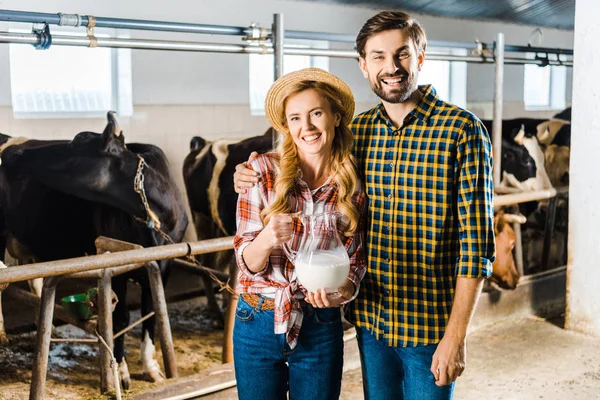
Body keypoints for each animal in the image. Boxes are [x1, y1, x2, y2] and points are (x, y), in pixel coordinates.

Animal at [0, 111, 188, 388]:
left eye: (77, 140)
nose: (15, 155)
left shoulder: (164, 264)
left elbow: (153, 312)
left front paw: (151, 367)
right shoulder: (117, 263)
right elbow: (120, 317)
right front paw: (121, 372)